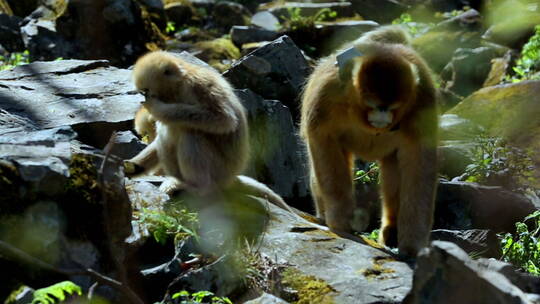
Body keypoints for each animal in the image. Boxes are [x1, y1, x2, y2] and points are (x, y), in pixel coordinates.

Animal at [300, 26, 438, 255]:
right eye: (373, 105)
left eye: (392, 107)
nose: (383, 115)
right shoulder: (327, 95)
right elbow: (322, 140)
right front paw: (339, 219)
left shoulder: (423, 99)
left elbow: (420, 163)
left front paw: (412, 245)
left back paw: (392, 229)